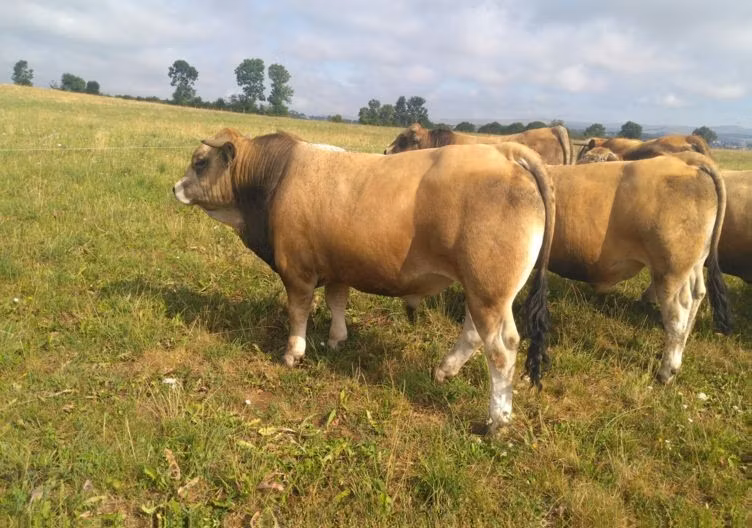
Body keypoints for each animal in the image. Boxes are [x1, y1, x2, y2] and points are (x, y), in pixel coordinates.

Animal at [173, 128, 556, 432]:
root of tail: (505, 153)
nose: (175, 188)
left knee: (502, 350)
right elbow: (336, 302)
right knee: (474, 334)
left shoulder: (296, 270)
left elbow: (298, 312)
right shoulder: (338, 267)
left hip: (489, 292)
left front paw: (293, 353)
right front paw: (337, 339)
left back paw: (497, 421)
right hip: (482, 292)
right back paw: (444, 371)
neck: (276, 177)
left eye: (201, 162)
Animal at [431, 151, 731, 386]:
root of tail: (686, 161)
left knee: (678, 313)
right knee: (696, 298)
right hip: (691, 266)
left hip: (670, 270)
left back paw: (667, 371)